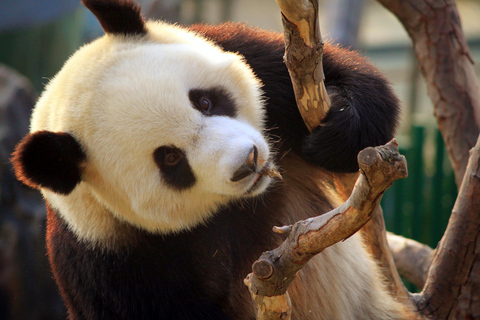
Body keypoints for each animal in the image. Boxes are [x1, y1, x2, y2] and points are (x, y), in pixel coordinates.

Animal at [11, 0, 416, 320]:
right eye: (170, 159)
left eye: (204, 101)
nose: (248, 161)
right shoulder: (106, 264)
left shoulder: (244, 51)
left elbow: (356, 78)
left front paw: (335, 133)